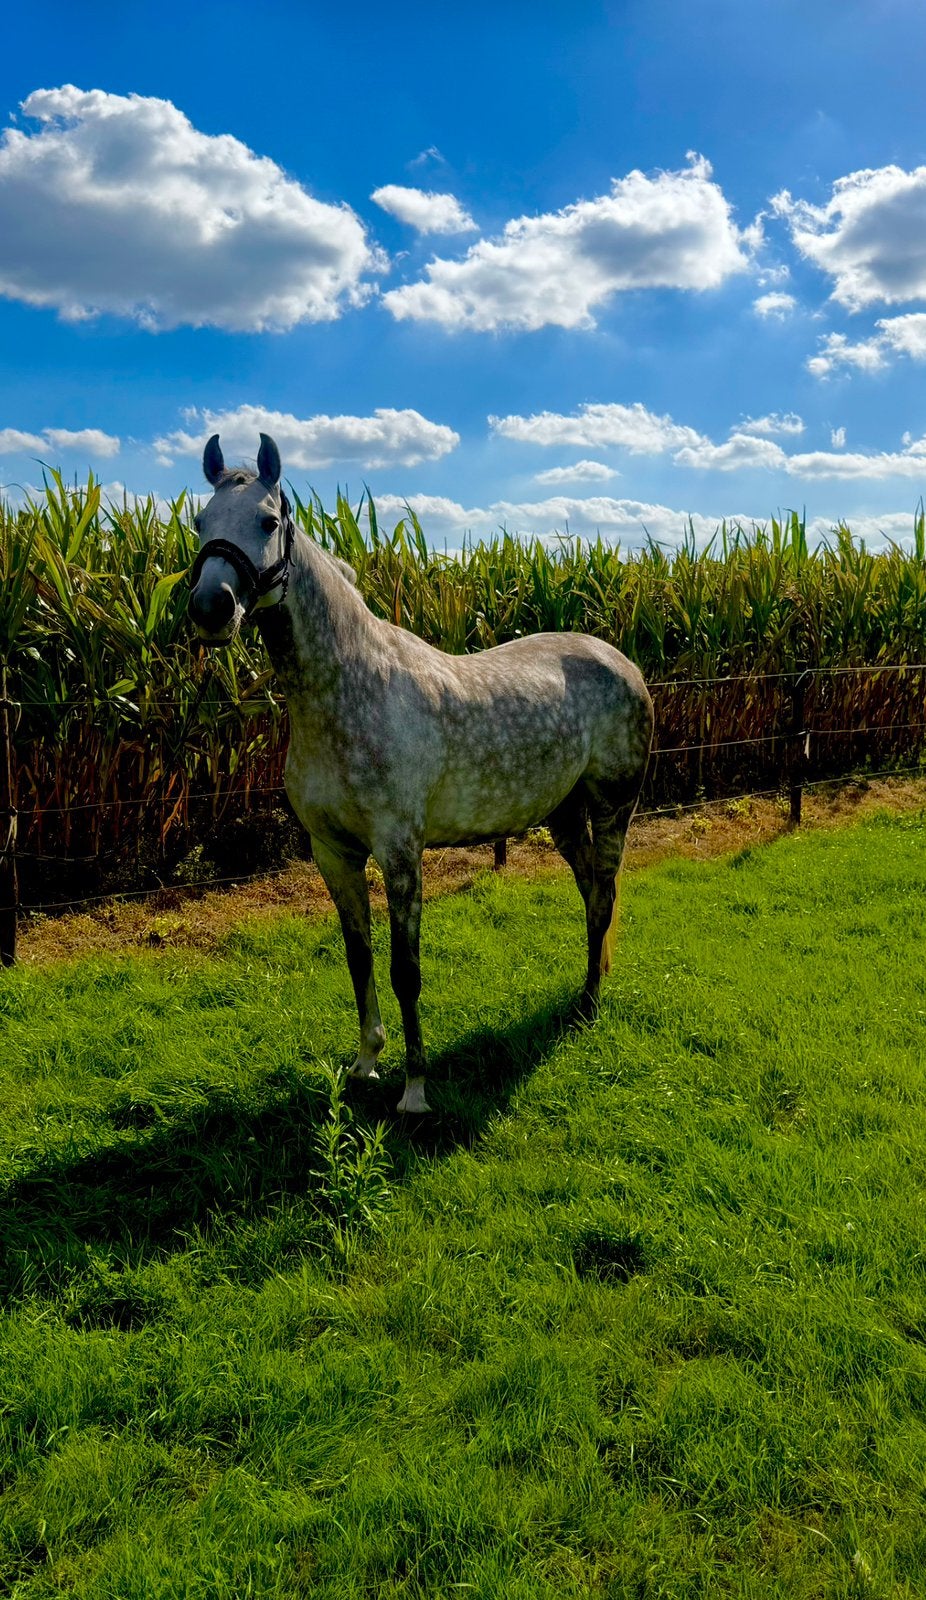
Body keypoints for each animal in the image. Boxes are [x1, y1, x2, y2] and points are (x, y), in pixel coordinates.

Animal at [187, 433, 654, 1113]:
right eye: (200, 523)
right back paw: (586, 992)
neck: (348, 690)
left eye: (269, 521)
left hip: (613, 806)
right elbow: (358, 958)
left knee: (606, 898)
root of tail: (619, 660)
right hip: (563, 815)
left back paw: (590, 1006)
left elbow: (405, 970)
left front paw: (414, 1089)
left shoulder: (400, 852)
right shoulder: (333, 853)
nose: (209, 607)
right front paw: (365, 1063)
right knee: (593, 892)